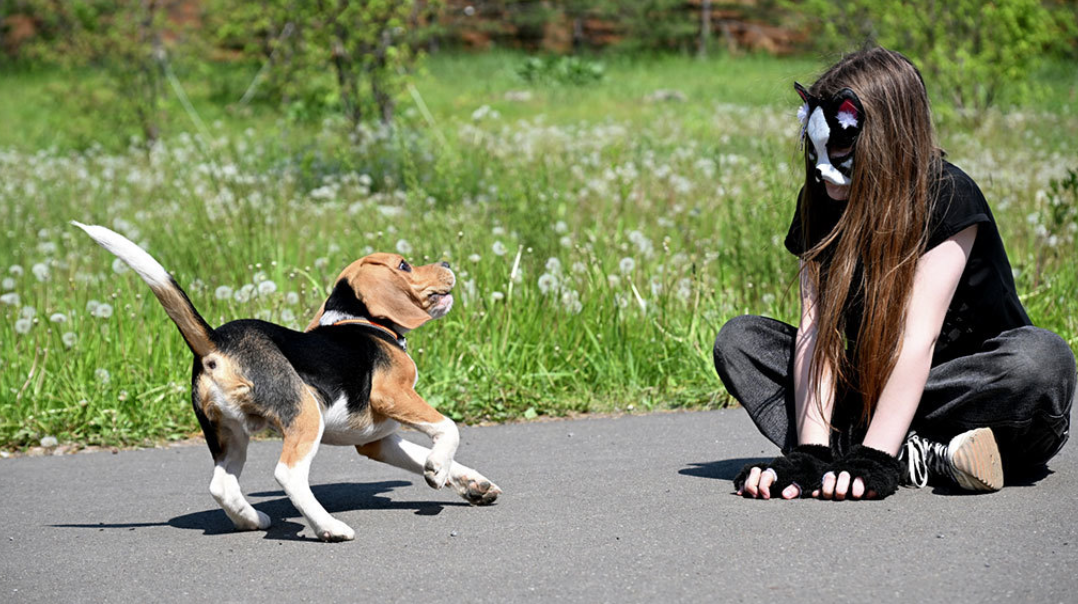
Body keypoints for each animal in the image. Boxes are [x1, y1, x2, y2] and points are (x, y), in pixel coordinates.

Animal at [73, 222, 502, 543]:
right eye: (405, 265)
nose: (446, 261)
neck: (361, 320)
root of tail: (216, 342)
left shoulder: (376, 440)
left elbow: (427, 453)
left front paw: (470, 483)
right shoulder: (394, 394)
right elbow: (448, 428)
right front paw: (437, 470)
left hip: (228, 434)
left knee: (221, 485)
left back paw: (251, 520)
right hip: (306, 413)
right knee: (288, 474)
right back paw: (329, 527)